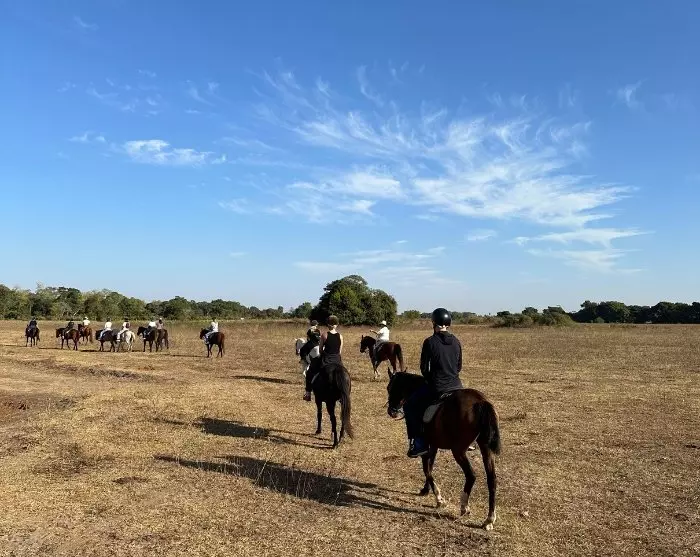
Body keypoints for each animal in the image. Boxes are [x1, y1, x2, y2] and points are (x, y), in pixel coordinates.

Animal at [386, 371, 501, 530]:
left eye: (389, 388)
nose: (391, 411)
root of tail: (481, 401)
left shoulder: (426, 445)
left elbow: (426, 469)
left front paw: (439, 499)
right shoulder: (433, 445)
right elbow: (430, 466)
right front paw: (426, 490)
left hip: (458, 451)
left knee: (471, 476)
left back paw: (464, 507)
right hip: (485, 448)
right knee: (492, 480)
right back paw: (489, 519)